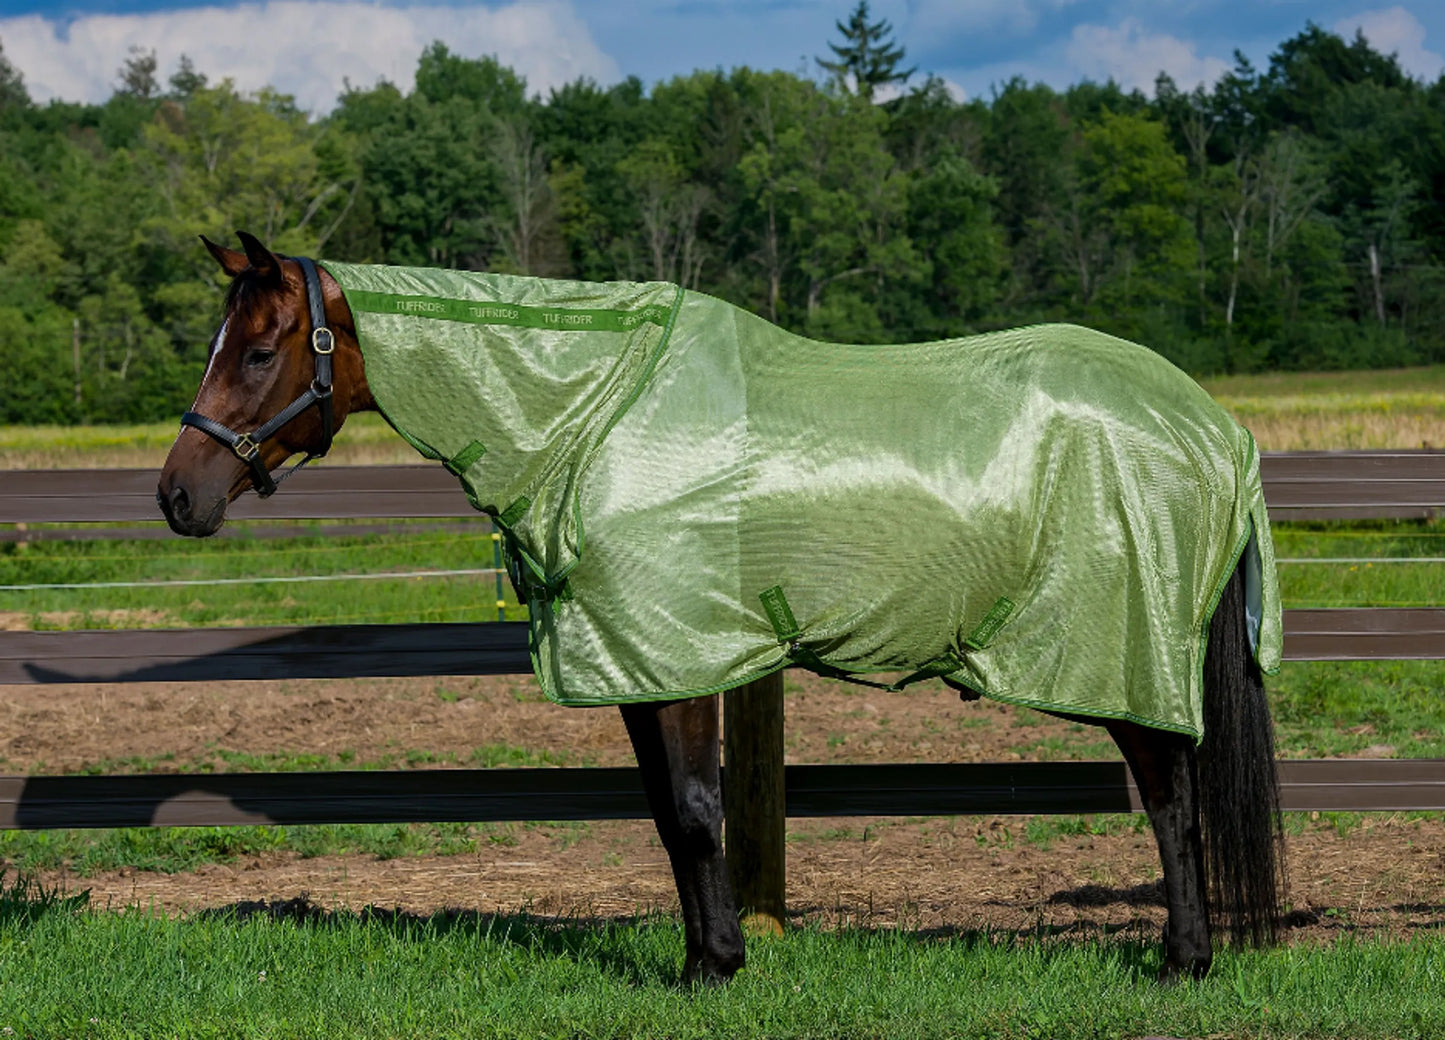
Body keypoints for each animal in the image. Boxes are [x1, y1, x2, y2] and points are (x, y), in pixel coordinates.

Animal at [158, 231, 1286, 985]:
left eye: (257, 350)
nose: (177, 495)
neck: (595, 415)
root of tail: (1212, 426)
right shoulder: (639, 660)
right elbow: (669, 816)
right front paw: (708, 953)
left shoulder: (675, 650)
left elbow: (699, 812)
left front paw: (714, 968)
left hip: (1123, 650)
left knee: (1172, 796)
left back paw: (1182, 962)